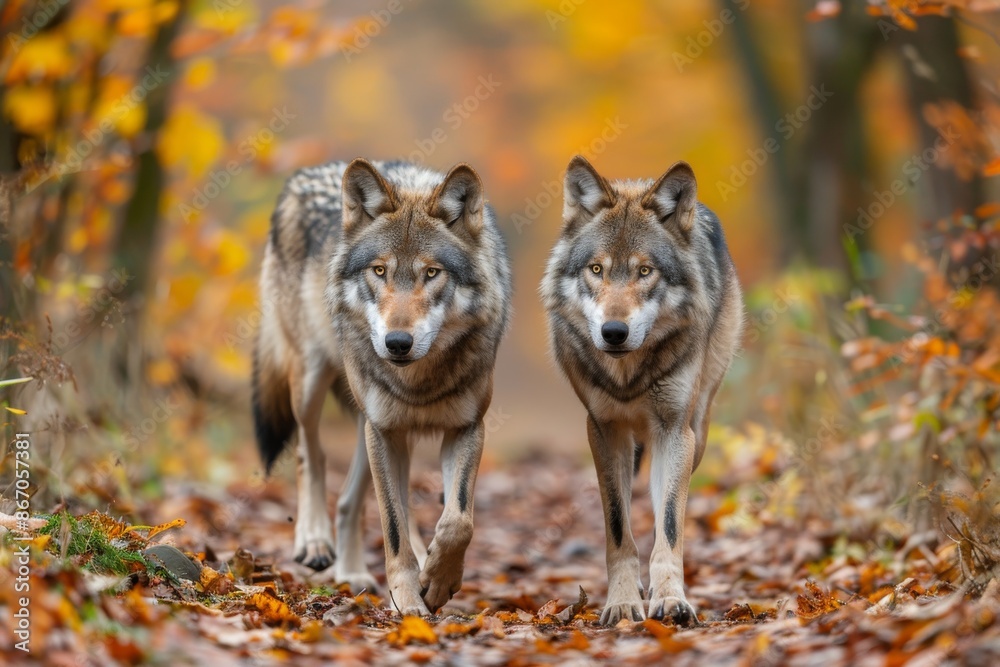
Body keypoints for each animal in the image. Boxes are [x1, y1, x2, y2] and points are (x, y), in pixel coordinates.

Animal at [252, 158, 512, 615]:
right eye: (379, 271)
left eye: (431, 273)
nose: (397, 342)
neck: (419, 382)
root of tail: (307, 173)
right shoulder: (387, 431)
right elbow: (393, 526)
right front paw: (409, 599)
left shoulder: (465, 429)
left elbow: (457, 520)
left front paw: (438, 580)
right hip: (314, 384)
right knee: (310, 453)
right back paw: (314, 541)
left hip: (370, 427)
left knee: (352, 500)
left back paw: (355, 572)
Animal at [541, 155, 743, 626]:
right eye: (596, 269)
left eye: (645, 271)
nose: (614, 332)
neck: (627, 377)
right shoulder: (604, 430)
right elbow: (618, 528)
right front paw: (621, 603)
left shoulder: (674, 431)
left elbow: (668, 524)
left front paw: (670, 599)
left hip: (696, 433)